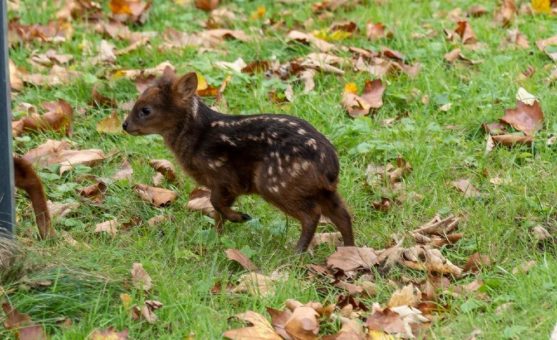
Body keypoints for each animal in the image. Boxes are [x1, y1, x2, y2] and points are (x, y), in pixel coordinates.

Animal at [123, 70, 354, 252]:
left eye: (145, 110)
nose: (125, 125)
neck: (198, 138)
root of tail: (330, 165)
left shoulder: (224, 176)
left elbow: (216, 203)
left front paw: (241, 218)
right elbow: (217, 211)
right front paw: (217, 238)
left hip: (275, 182)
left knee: (312, 215)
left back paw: (297, 252)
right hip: (319, 188)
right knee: (342, 213)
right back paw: (350, 251)